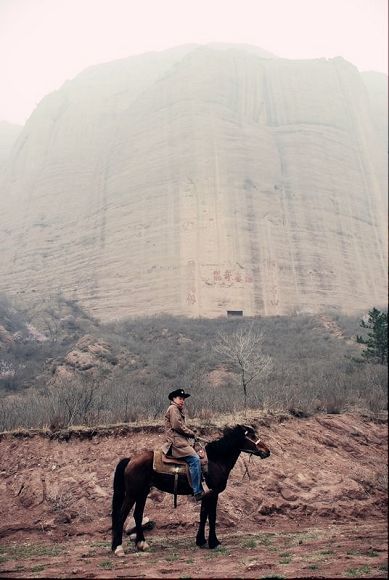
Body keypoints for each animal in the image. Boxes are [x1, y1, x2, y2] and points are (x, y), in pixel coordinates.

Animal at [110, 424, 270, 556]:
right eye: (252, 436)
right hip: (132, 494)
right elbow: (212, 517)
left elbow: (203, 515)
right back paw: (118, 548)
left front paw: (201, 541)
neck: (215, 461)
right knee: (121, 515)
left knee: (137, 515)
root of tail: (130, 459)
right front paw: (214, 542)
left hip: (142, 493)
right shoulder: (213, 494)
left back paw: (142, 544)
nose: (267, 451)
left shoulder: (205, 495)